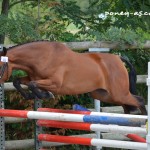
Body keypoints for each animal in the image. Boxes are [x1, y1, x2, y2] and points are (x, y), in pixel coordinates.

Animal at [0, 40, 147, 114]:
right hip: (104, 94)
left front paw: (46, 95)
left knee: (140, 101)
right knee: (127, 106)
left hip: (119, 93)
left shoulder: (55, 83)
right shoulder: (33, 77)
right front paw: (31, 95)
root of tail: (119, 58)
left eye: (1, 66)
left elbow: (32, 84)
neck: (43, 57)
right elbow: (18, 82)